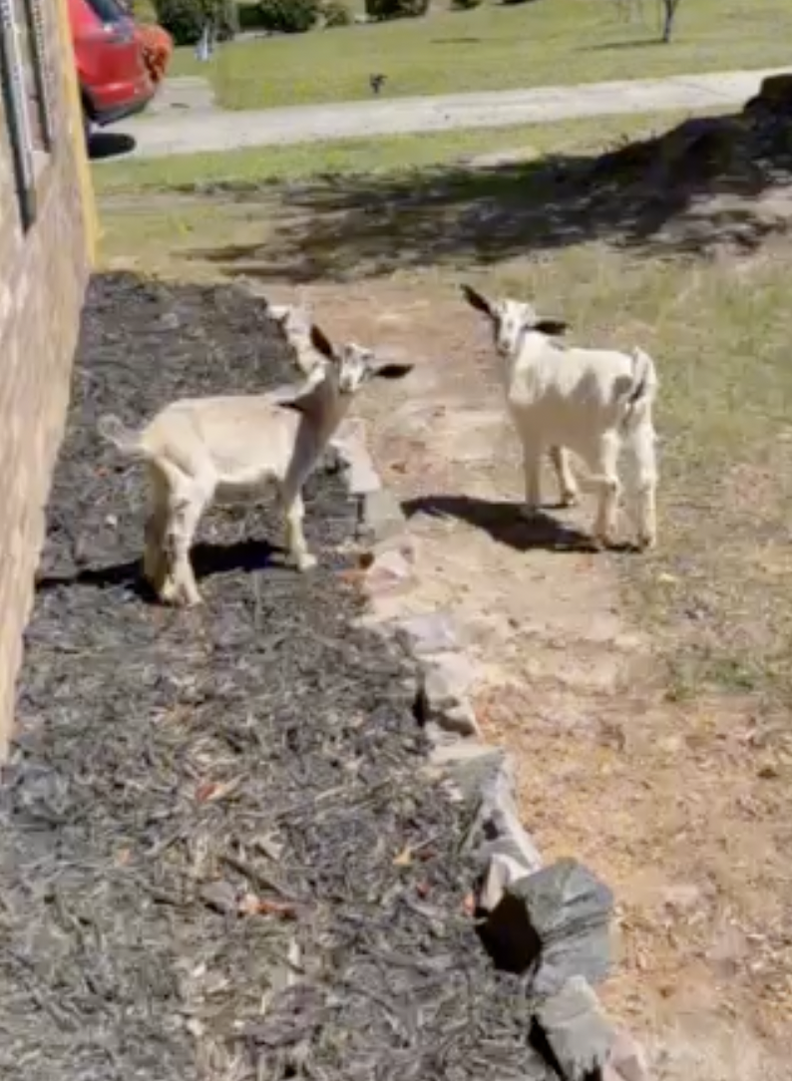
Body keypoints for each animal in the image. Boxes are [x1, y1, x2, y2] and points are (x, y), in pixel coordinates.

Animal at [97, 324, 412, 607]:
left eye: (369, 371)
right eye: (336, 359)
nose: (346, 384)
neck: (308, 416)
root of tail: (151, 437)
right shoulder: (292, 474)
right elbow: (295, 513)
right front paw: (305, 561)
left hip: (162, 482)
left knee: (153, 527)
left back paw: (162, 590)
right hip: (194, 480)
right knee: (177, 537)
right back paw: (192, 598)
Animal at [460, 284, 658, 550]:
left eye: (526, 325)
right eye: (494, 316)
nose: (504, 345)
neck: (526, 360)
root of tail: (636, 377)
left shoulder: (529, 425)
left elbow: (531, 463)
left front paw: (530, 509)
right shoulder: (554, 423)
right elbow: (558, 454)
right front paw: (569, 496)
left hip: (601, 439)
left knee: (611, 483)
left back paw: (601, 534)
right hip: (641, 429)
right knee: (647, 478)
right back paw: (646, 538)